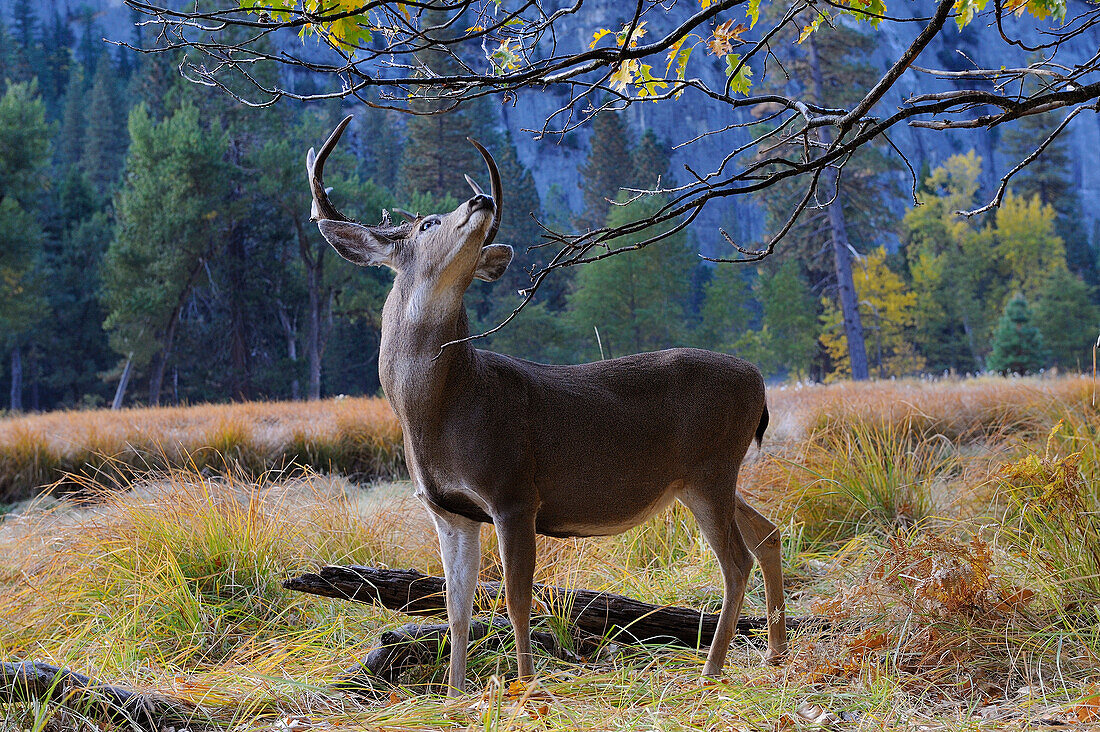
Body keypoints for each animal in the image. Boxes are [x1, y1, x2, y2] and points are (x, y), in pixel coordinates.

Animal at [305, 117, 787, 695]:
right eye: (427, 224)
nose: (483, 198)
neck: (439, 410)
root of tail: (759, 382)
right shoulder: (449, 510)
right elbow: (457, 608)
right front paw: (454, 694)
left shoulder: (514, 490)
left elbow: (516, 600)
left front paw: (527, 686)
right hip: (705, 477)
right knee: (768, 533)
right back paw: (776, 652)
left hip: (711, 467)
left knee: (735, 561)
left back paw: (712, 670)